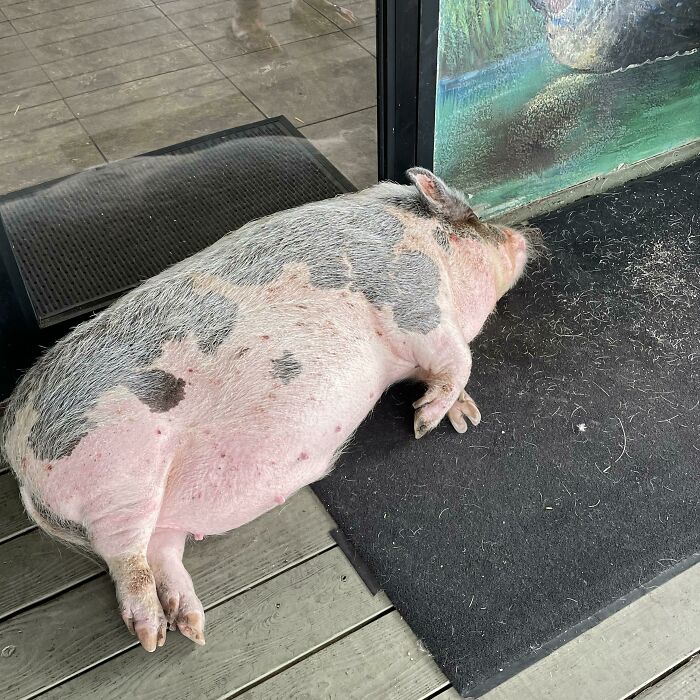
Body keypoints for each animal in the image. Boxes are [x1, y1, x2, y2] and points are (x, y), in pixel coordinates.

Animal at [0, 168, 537, 652]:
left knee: (160, 551)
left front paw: (464, 420)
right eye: (474, 217)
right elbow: (461, 358)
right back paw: (152, 636)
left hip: (155, 504)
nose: (522, 235)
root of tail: (15, 448)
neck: (431, 246)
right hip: (116, 477)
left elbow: (446, 371)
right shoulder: (413, 303)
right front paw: (424, 424)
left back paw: (192, 628)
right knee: (124, 560)